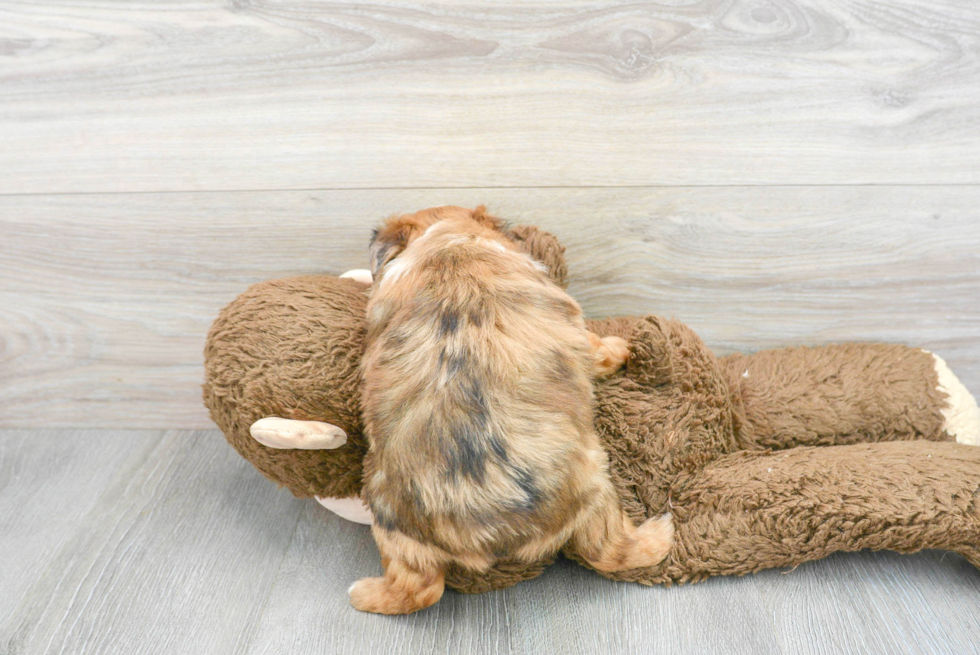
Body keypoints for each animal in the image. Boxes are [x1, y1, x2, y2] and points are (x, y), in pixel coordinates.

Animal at [352, 209, 672, 616]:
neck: (449, 246)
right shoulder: (578, 330)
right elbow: (598, 346)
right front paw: (622, 348)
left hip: (394, 525)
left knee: (419, 588)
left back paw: (367, 595)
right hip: (595, 486)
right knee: (608, 551)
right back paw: (659, 534)